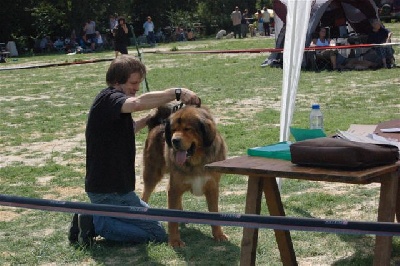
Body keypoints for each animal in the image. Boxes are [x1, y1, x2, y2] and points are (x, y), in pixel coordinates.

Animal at [142, 104, 228, 247]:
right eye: (173, 130)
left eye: (188, 129)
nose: (174, 140)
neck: (196, 161)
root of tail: (158, 123)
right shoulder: (174, 187)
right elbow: (172, 221)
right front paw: (174, 241)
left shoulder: (212, 187)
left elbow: (214, 212)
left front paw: (218, 235)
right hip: (152, 173)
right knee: (145, 195)